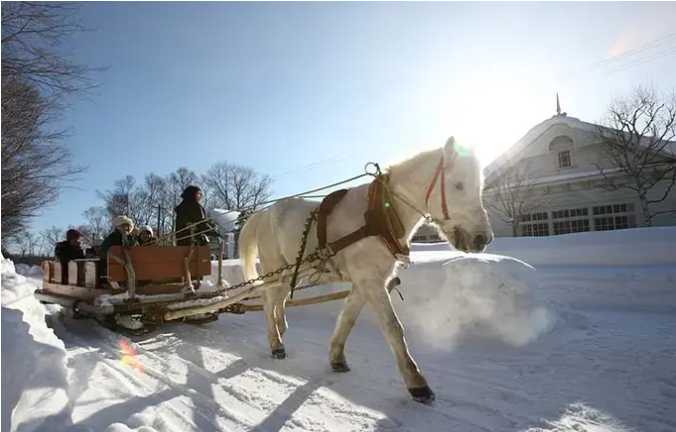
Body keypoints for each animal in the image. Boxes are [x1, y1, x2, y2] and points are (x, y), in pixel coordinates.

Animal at [238, 137, 492, 404]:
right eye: (459, 184)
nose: (483, 238)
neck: (382, 214)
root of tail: (264, 213)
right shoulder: (370, 281)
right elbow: (393, 327)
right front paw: (417, 382)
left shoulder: (365, 282)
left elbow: (348, 319)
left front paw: (337, 358)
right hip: (275, 269)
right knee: (269, 301)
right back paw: (276, 343)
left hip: (291, 272)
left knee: (279, 300)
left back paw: (281, 328)